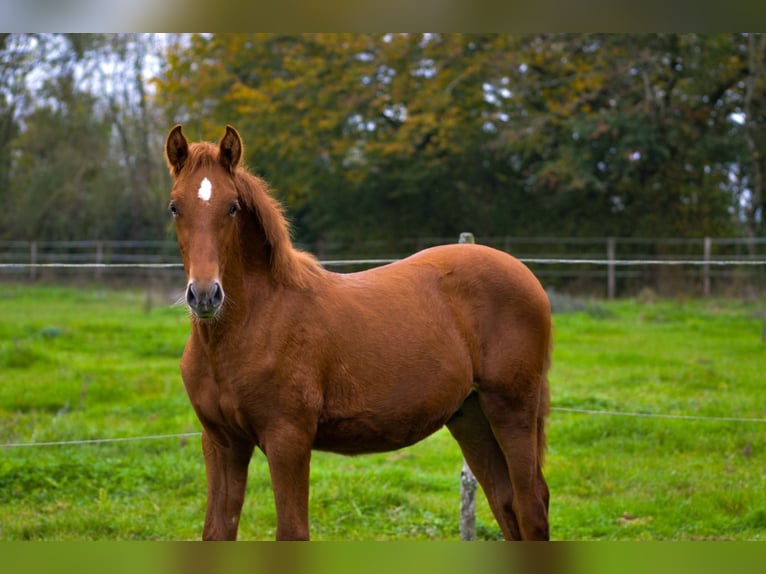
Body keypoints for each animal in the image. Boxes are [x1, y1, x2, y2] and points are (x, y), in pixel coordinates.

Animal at [165, 124, 556, 544]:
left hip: (511, 408)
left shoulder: (288, 440)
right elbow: (217, 531)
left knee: (531, 504)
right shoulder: (222, 442)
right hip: (471, 416)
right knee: (505, 501)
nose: (205, 295)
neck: (253, 323)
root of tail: (526, 275)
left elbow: (292, 531)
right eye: (174, 207)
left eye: (232, 207)